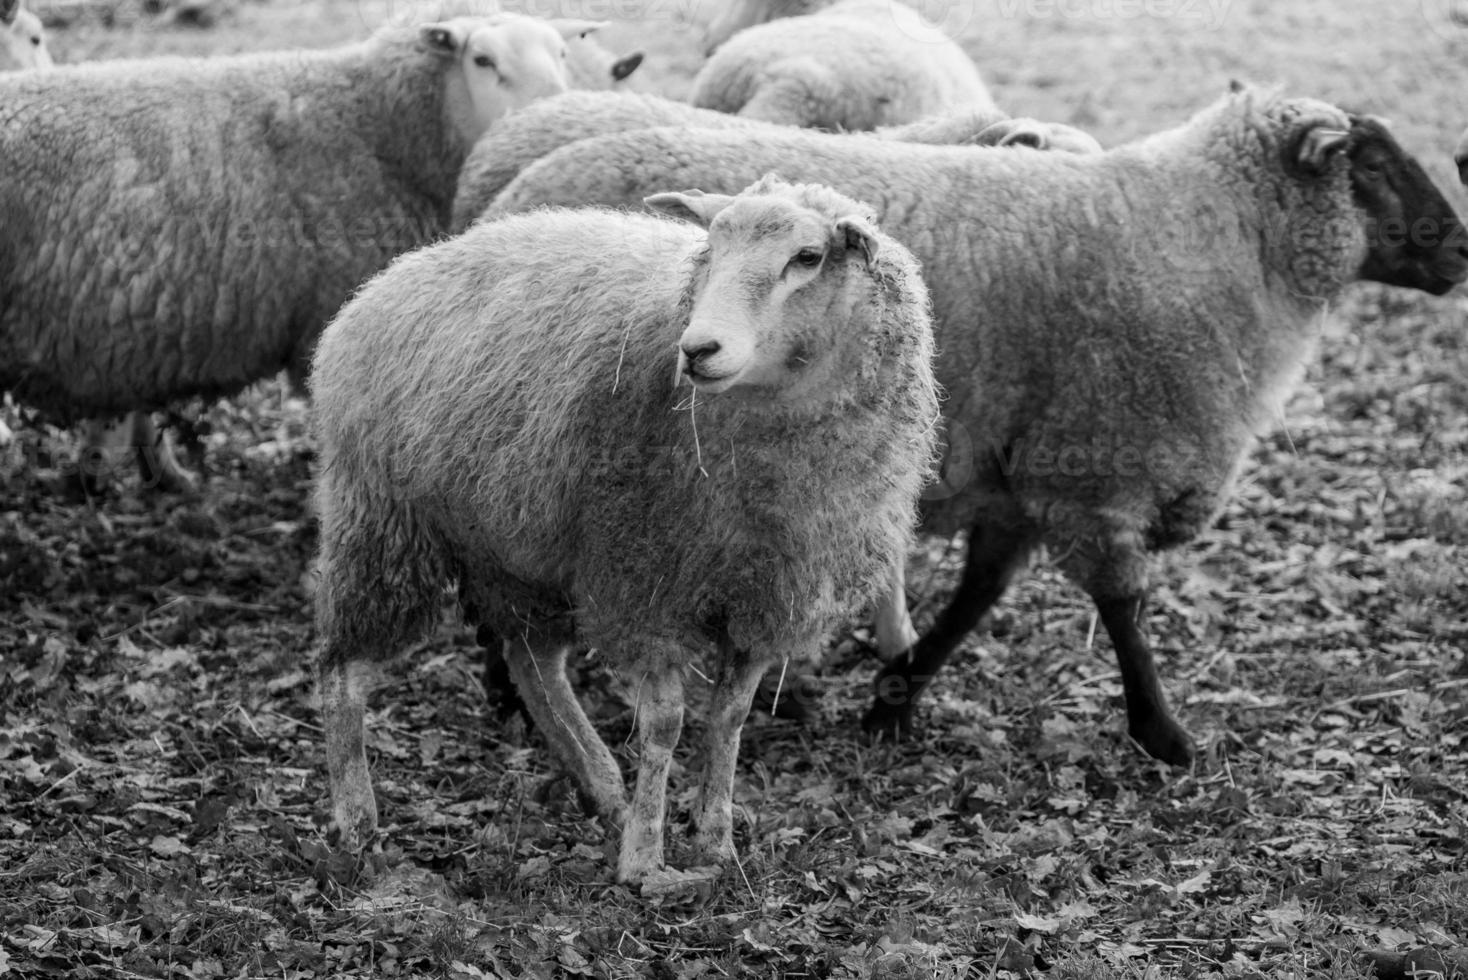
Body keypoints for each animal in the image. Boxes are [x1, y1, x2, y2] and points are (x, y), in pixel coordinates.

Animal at [315, 173, 945, 880]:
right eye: (711, 244)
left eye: (807, 257)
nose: (697, 350)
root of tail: (393, 276)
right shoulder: (644, 580)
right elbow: (666, 723)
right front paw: (646, 860)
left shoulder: (767, 596)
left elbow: (730, 716)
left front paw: (714, 839)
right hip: (384, 519)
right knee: (343, 669)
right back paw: (356, 819)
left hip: (515, 546)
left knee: (532, 661)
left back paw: (601, 786)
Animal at [478, 84, 1468, 762]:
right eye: (1371, 166)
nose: (1461, 248)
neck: (1207, 241)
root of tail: (508, 193)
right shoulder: (1094, 456)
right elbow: (1122, 604)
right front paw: (1163, 733)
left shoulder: (1023, 464)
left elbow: (978, 596)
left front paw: (896, 696)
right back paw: (515, 694)